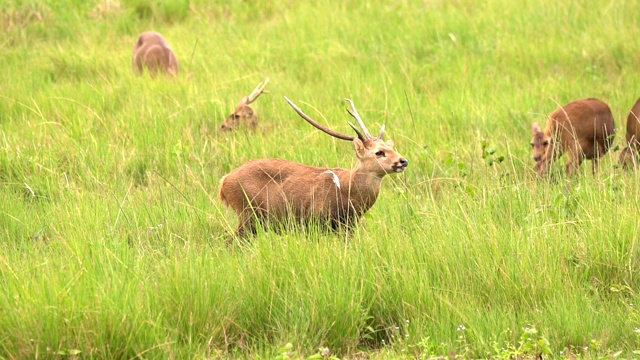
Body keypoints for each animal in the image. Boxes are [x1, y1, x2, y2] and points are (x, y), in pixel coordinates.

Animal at [219, 96, 410, 236]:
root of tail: (224, 181)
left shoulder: (348, 227)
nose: (403, 161)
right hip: (248, 213)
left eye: (391, 147)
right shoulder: (318, 221)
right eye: (379, 152)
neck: (348, 191)